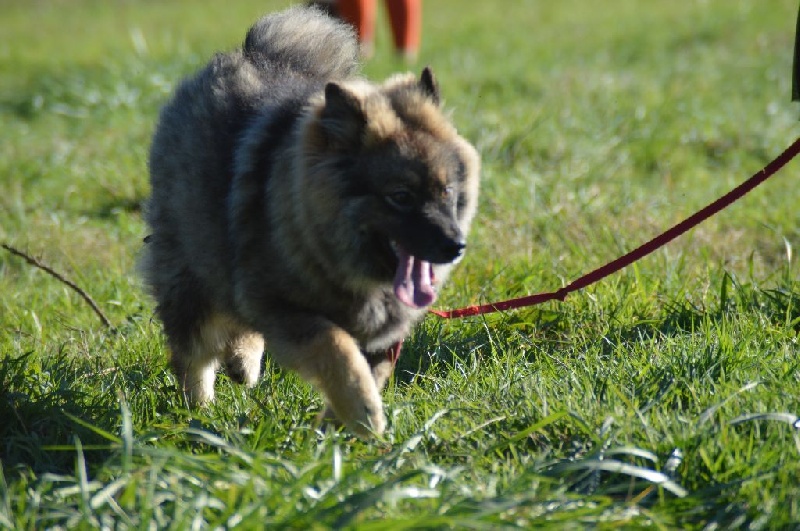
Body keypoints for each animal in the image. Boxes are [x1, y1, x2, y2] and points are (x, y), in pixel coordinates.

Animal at [141, 6, 482, 436]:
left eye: (447, 192)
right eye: (400, 197)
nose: (455, 246)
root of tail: (255, 53)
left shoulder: (381, 336)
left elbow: (369, 368)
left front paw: (337, 425)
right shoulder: (284, 307)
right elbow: (335, 346)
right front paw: (363, 412)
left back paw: (242, 363)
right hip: (195, 268)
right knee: (194, 353)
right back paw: (200, 411)